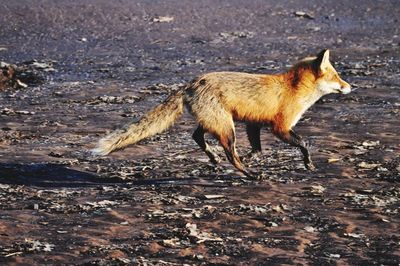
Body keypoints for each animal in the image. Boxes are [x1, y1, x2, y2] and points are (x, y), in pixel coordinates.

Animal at [91, 49, 350, 178]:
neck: (292, 89)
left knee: (197, 137)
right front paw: (308, 164)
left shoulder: (253, 124)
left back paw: (215, 158)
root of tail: (191, 83)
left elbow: (257, 149)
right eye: (337, 76)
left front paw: (251, 157)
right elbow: (304, 143)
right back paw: (250, 175)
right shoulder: (280, 127)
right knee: (229, 155)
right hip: (227, 128)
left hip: (217, 123)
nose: (350, 86)